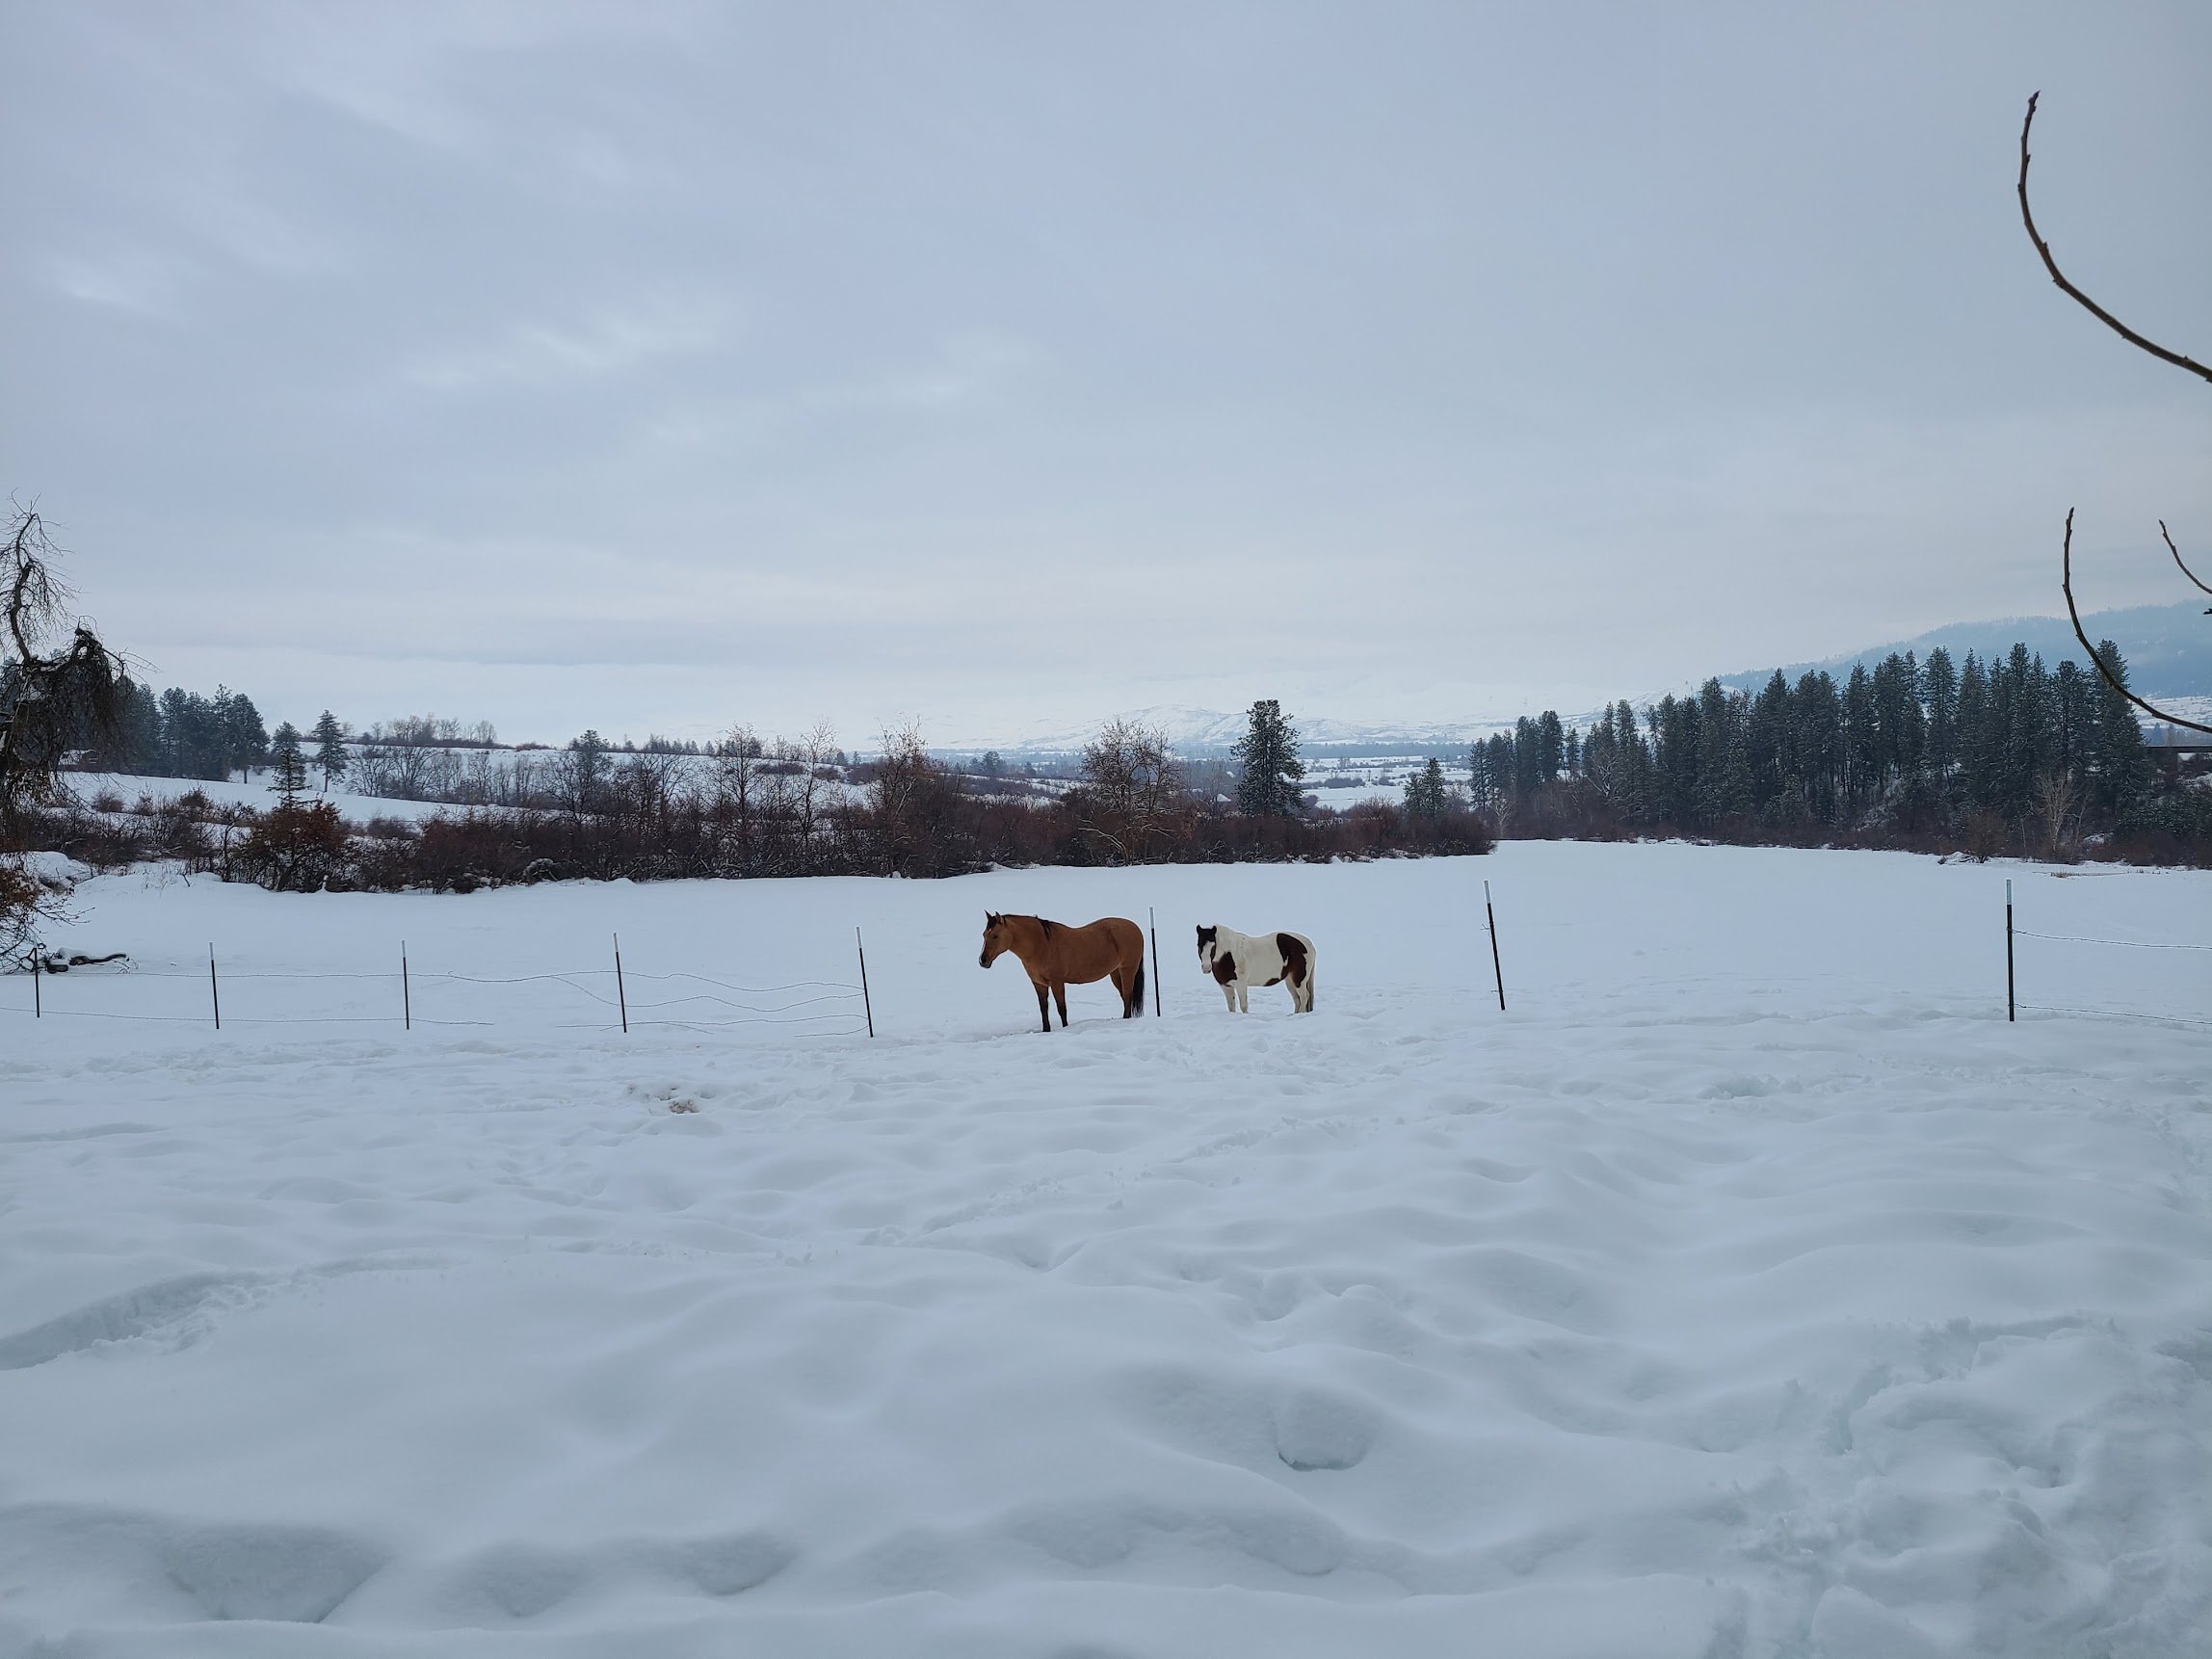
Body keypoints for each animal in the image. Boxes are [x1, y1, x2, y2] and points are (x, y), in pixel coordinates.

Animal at [980, 912, 1147, 1031]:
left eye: (995, 936)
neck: (1041, 945)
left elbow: (1062, 1009)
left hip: (1128, 970)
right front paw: (1046, 1030)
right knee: (1125, 997)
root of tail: (1135, 927)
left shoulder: (1057, 983)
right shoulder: (1039, 984)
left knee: (1128, 995)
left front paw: (1065, 1029)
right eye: (984, 935)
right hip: (1115, 973)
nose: (983, 960)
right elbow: (1044, 1009)